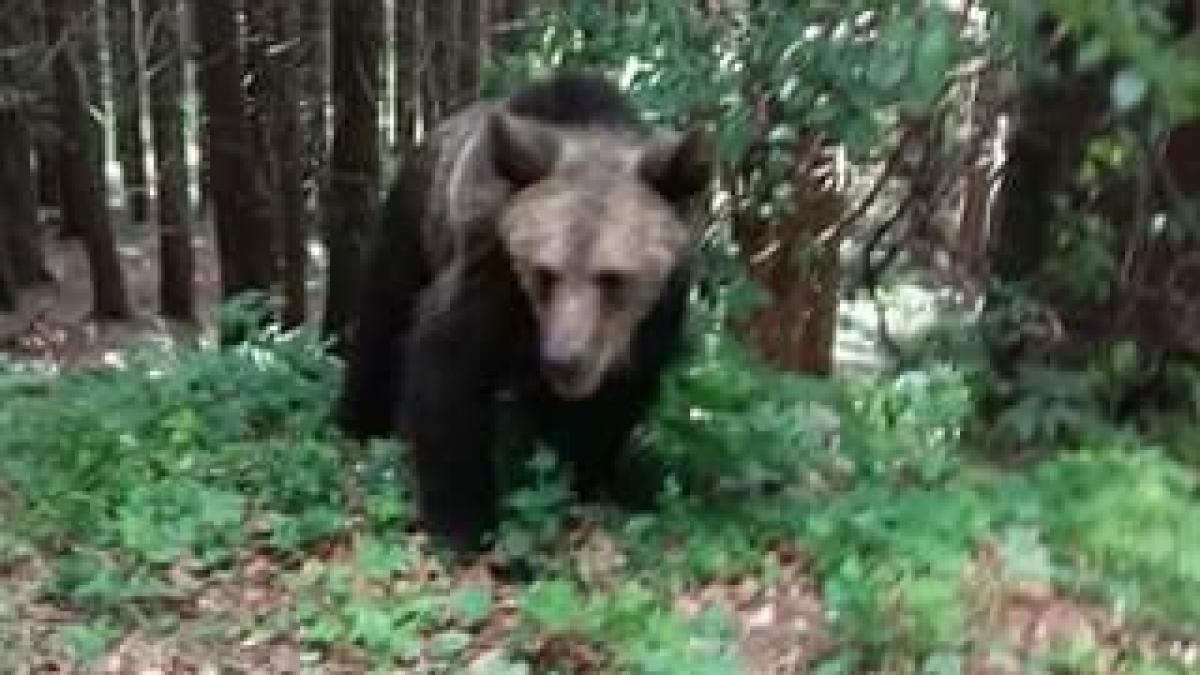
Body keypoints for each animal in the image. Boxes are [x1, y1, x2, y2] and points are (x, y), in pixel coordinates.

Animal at [338, 70, 705, 550]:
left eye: (613, 276)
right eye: (545, 272)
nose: (565, 360)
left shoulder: (649, 321)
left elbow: (611, 406)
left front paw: (581, 482)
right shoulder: (490, 271)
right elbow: (447, 373)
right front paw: (462, 524)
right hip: (411, 227)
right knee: (382, 319)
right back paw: (360, 423)